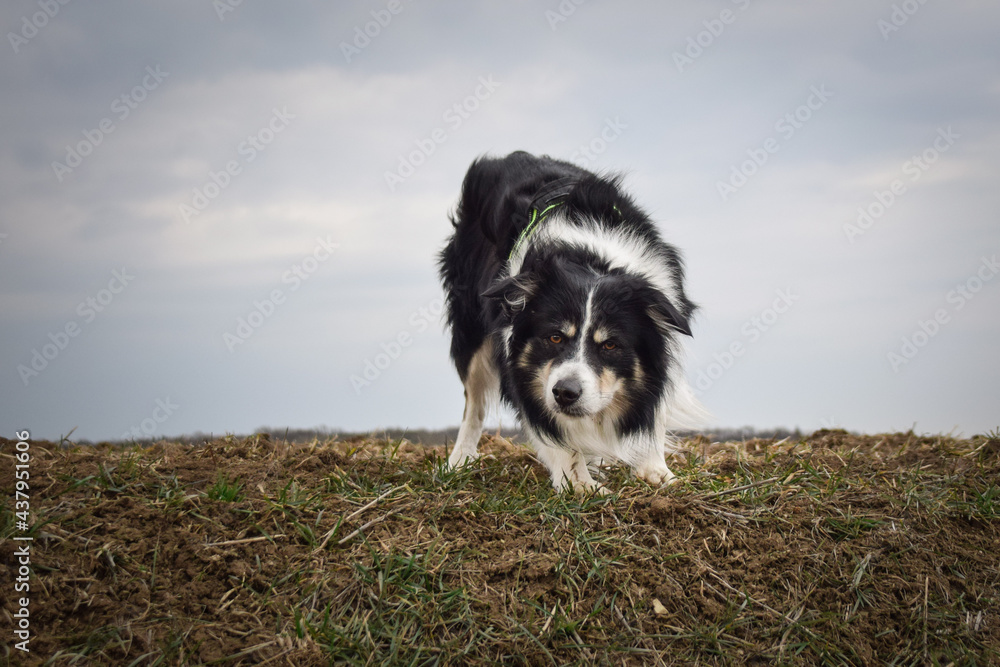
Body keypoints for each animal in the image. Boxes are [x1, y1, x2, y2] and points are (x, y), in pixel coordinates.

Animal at [438, 153, 704, 496]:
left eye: (610, 344)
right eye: (554, 338)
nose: (565, 393)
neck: (594, 261)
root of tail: (504, 158)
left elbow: (654, 408)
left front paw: (655, 469)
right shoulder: (525, 365)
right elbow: (554, 431)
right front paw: (580, 484)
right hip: (470, 323)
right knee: (474, 402)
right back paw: (459, 461)